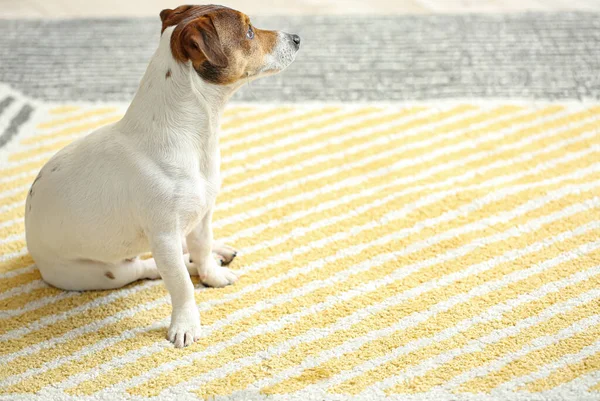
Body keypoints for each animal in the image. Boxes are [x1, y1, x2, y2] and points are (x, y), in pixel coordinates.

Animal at [24, 4, 300, 346]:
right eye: (249, 32)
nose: (297, 38)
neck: (194, 139)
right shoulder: (164, 235)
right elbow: (180, 283)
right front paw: (186, 323)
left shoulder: (203, 214)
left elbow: (202, 248)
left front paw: (212, 273)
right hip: (102, 273)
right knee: (145, 268)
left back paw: (218, 252)